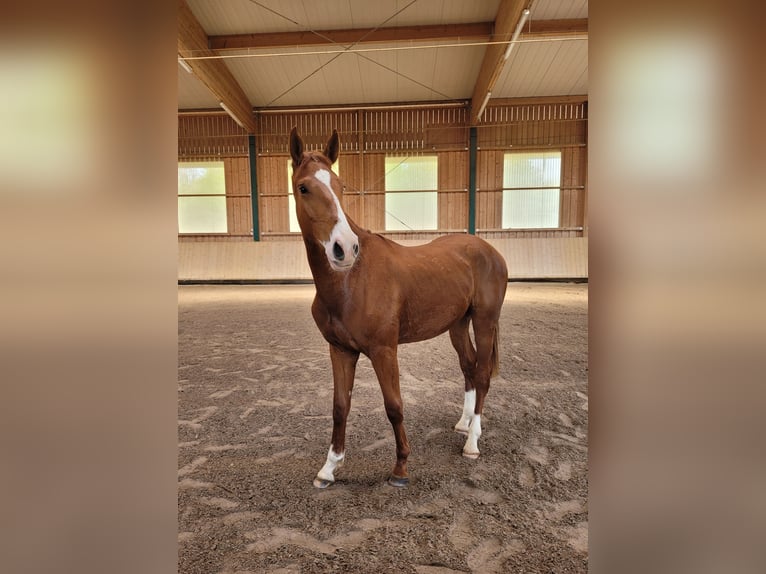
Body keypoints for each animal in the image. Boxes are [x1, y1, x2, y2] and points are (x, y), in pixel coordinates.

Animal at [292, 128, 508, 488]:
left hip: (485, 321)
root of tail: (489, 250)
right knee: (468, 366)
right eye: (303, 187)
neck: (351, 280)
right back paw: (463, 423)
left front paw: (401, 468)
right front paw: (329, 468)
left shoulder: (383, 350)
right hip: (457, 324)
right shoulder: (340, 350)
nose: (344, 248)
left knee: (481, 374)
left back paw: (472, 442)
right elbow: (339, 406)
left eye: (340, 186)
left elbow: (393, 405)